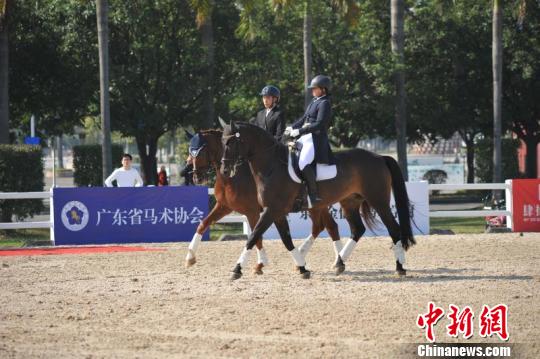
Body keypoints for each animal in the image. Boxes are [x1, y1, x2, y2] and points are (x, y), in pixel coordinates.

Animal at [184, 131, 340, 274]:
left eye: (200, 151)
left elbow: (256, 235)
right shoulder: (224, 207)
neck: (232, 177)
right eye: (190, 152)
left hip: (315, 206)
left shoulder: (252, 211)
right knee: (324, 226)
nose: (196, 178)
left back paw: (335, 261)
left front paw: (260, 264)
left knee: (328, 227)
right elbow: (203, 224)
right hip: (315, 207)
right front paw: (190, 258)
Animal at [221, 123, 416, 282]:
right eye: (222, 142)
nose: (224, 170)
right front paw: (302, 268)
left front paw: (236, 270)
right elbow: (286, 240)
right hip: (350, 202)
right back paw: (339, 263)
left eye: (230, 143)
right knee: (357, 229)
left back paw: (399, 267)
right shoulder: (276, 212)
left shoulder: (272, 210)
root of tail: (379, 157)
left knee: (394, 229)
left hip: (379, 201)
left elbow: (253, 236)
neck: (271, 166)